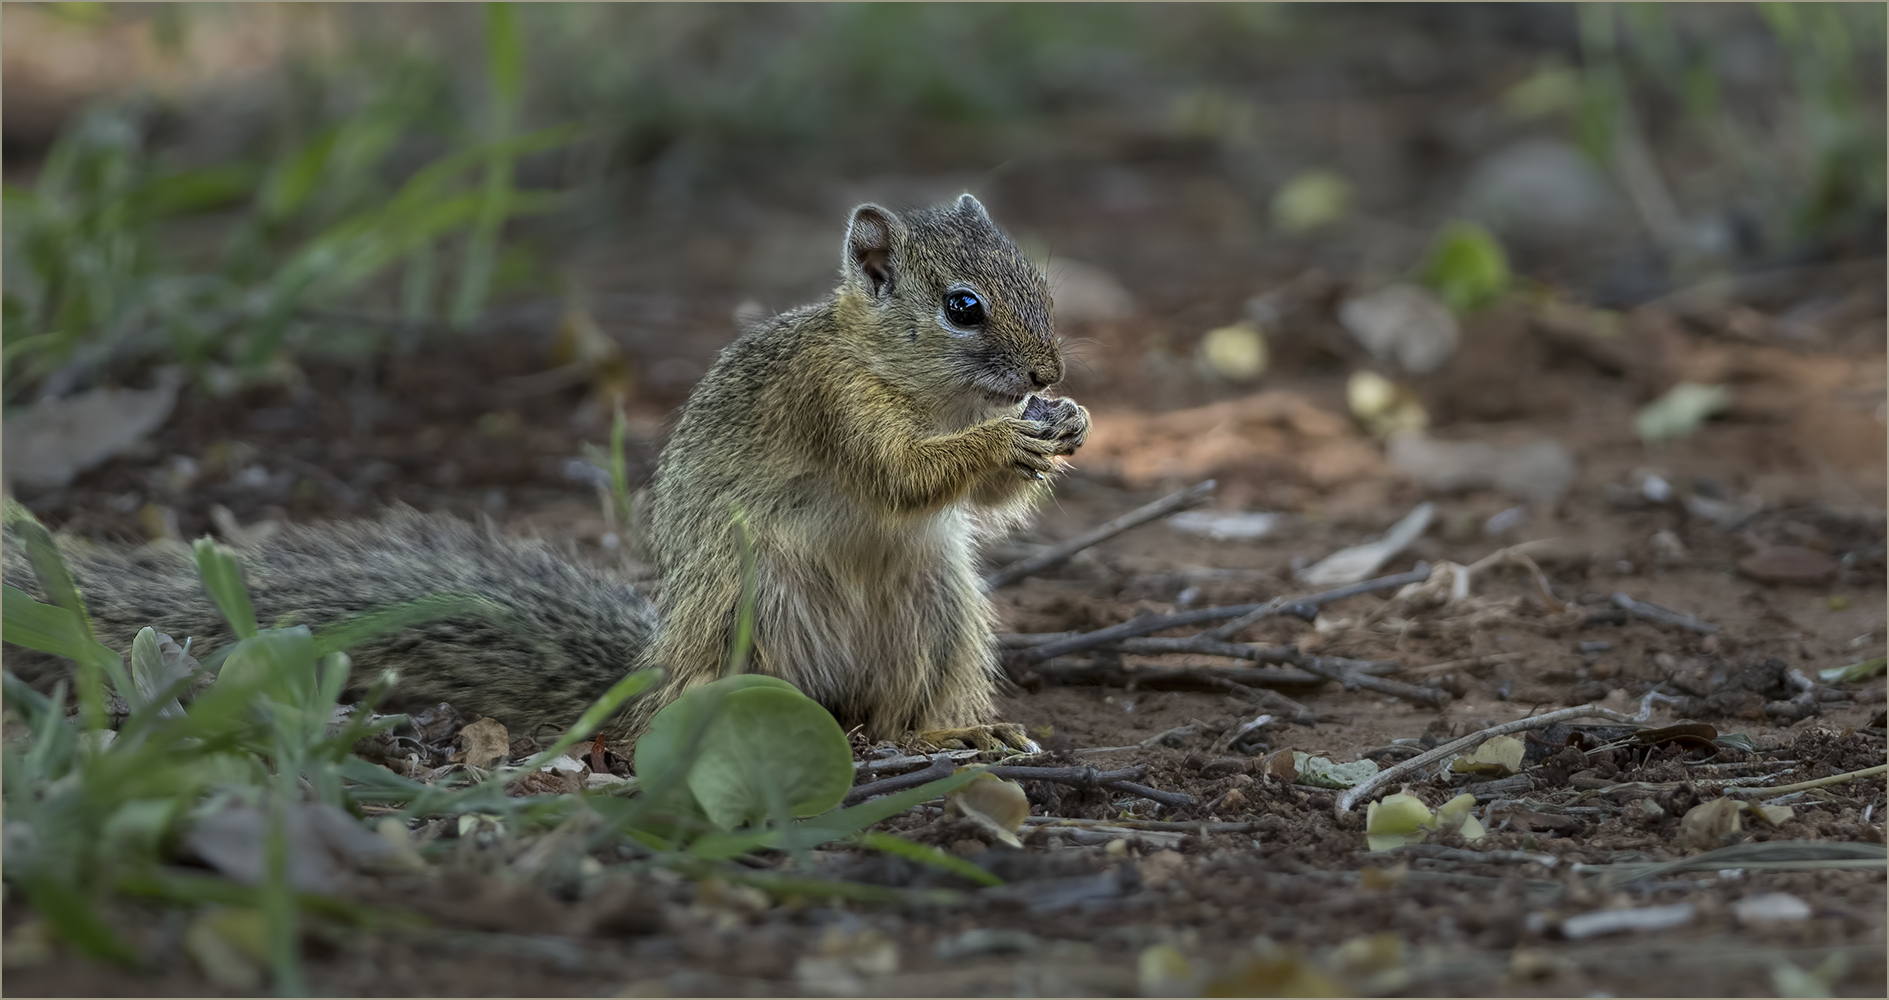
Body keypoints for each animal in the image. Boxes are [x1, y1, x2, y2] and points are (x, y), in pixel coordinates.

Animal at [0, 196, 1088, 748]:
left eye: (1039, 281)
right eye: (961, 306)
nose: (1048, 375)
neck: (902, 373)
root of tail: (651, 676)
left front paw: (1063, 427)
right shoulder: (832, 405)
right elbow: (900, 471)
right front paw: (1004, 441)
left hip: (938, 619)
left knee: (904, 707)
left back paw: (958, 738)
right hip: (754, 611)